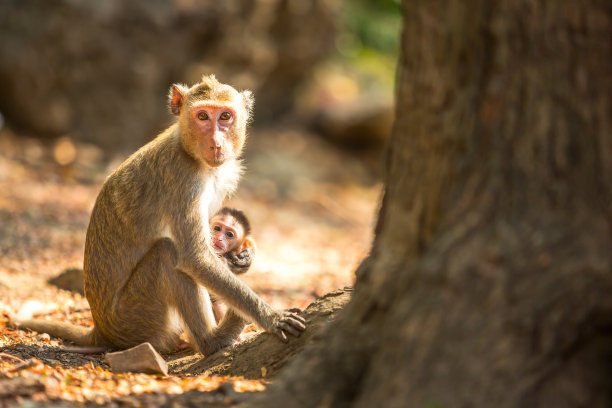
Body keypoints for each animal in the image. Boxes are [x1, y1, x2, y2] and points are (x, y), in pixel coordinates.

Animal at [16, 75, 306, 356]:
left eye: (225, 116)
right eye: (203, 116)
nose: (216, 144)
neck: (190, 152)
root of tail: (101, 329)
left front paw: (244, 257)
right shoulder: (183, 179)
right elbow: (195, 258)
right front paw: (271, 316)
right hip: (137, 316)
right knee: (167, 253)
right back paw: (212, 340)